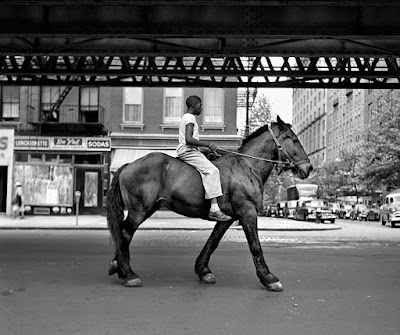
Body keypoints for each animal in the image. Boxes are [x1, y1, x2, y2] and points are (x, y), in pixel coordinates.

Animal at [108, 117, 314, 292]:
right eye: (293, 139)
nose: (309, 167)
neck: (247, 166)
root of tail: (128, 165)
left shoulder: (228, 218)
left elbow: (213, 241)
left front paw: (203, 270)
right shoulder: (247, 212)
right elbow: (255, 245)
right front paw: (269, 278)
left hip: (147, 209)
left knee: (123, 232)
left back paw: (118, 267)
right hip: (139, 210)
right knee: (125, 233)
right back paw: (129, 274)